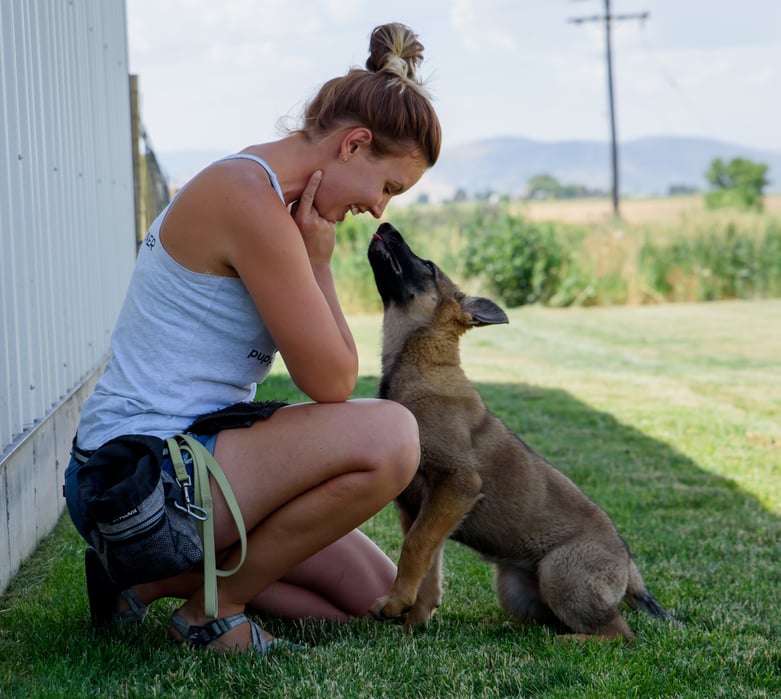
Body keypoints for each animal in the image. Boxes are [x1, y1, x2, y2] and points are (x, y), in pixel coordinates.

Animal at [366, 224, 676, 640]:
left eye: (428, 266)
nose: (385, 226)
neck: (420, 361)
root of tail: (628, 566)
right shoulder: (420, 506)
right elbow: (427, 562)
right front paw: (413, 622)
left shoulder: (457, 483)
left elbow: (414, 547)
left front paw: (396, 604)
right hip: (516, 590)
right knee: (552, 622)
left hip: (561, 574)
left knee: (617, 634)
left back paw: (567, 643)